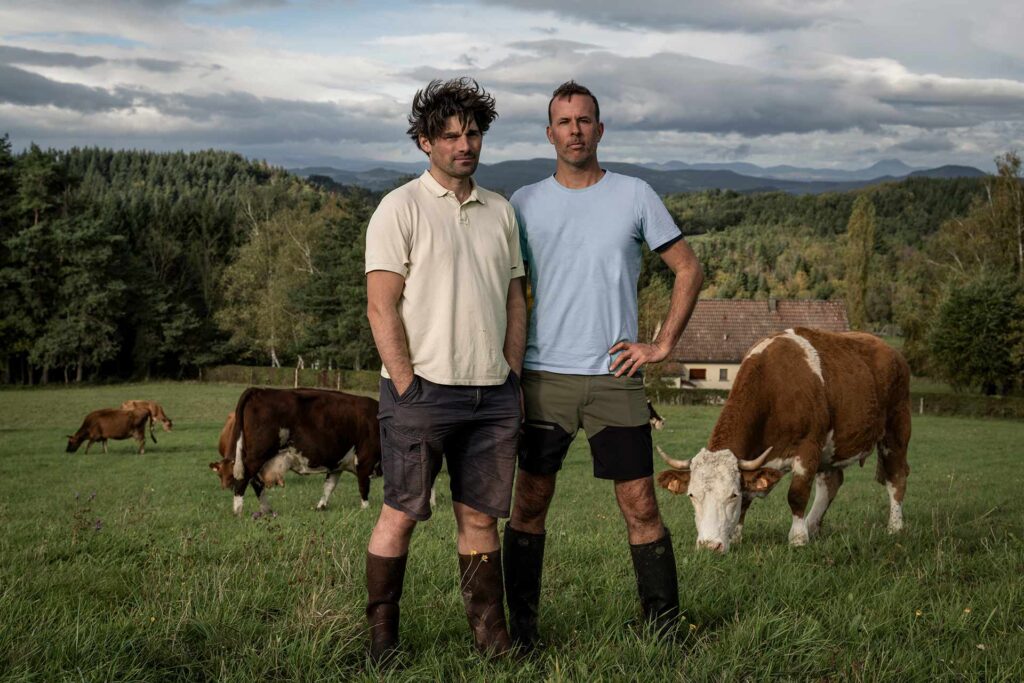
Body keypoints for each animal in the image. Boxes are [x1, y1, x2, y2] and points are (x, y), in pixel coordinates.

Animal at [210, 387, 385, 516]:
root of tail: (259, 390)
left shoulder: (337, 464)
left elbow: (329, 486)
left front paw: (321, 506)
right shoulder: (365, 460)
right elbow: (363, 486)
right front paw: (366, 508)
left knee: (255, 481)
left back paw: (266, 510)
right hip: (256, 456)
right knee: (245, 479)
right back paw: (238, 510)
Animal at [655, 327, 913, 557]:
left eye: (732, 495)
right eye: (692, 495)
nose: (710, 546)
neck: (774, 389)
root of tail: (892, 351)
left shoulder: (808, 448)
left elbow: (796, 495)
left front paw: (797, 539)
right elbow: (749, 499)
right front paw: (736, 536)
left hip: (897, 428)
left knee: (896, 477)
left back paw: (895, 526)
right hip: (831, 449)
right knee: (831, 482)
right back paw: (812, 526)